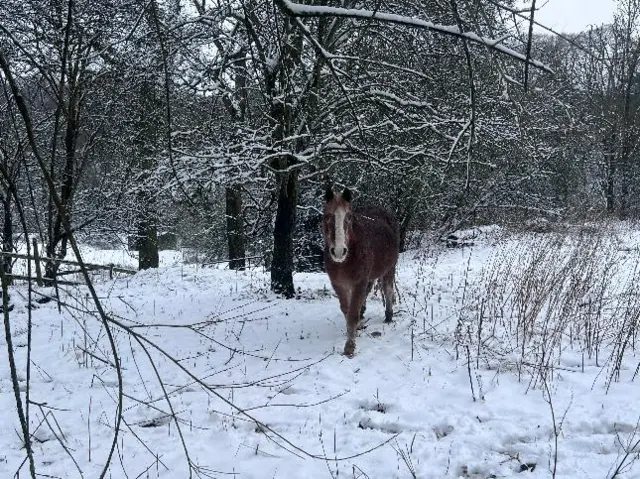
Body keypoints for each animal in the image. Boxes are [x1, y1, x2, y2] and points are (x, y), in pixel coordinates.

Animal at [322, 188, 398, 356]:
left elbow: (351, 313)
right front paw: (356, 328)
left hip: (389, 269)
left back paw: (388, 316)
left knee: (388, 290)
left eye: (349, 217)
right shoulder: (339, 284)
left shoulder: (358, 282)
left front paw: (349, 346)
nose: (338, 252)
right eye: (327, 215)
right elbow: (346, 310)